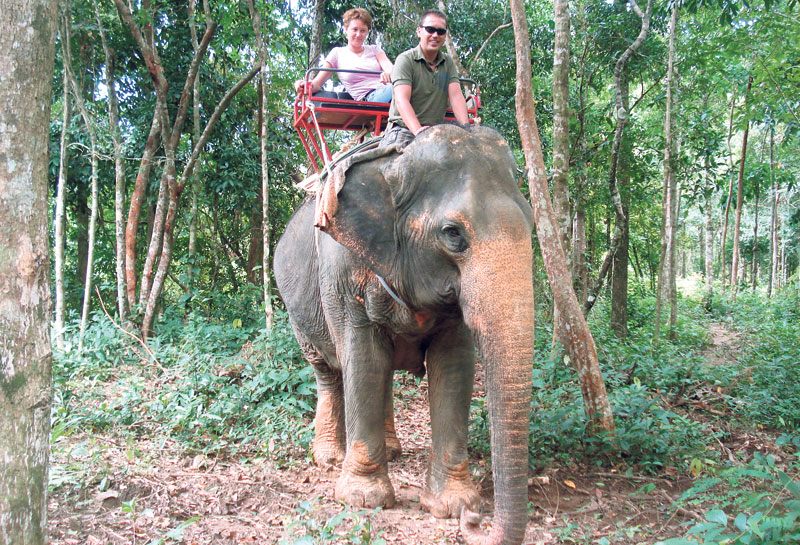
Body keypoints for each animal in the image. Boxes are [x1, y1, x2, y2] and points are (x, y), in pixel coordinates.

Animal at [274, 124, 534, 545]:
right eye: (452, 233)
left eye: (531, 227)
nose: (477, 521)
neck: (394, 168)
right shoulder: (342, 271)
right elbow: (362, 357)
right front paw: (363, 498)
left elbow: (453, 366)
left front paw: (453, 505)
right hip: (297, 309)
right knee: (331, 372)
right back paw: (330, 458)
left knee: (380, 375)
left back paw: (392, 451)